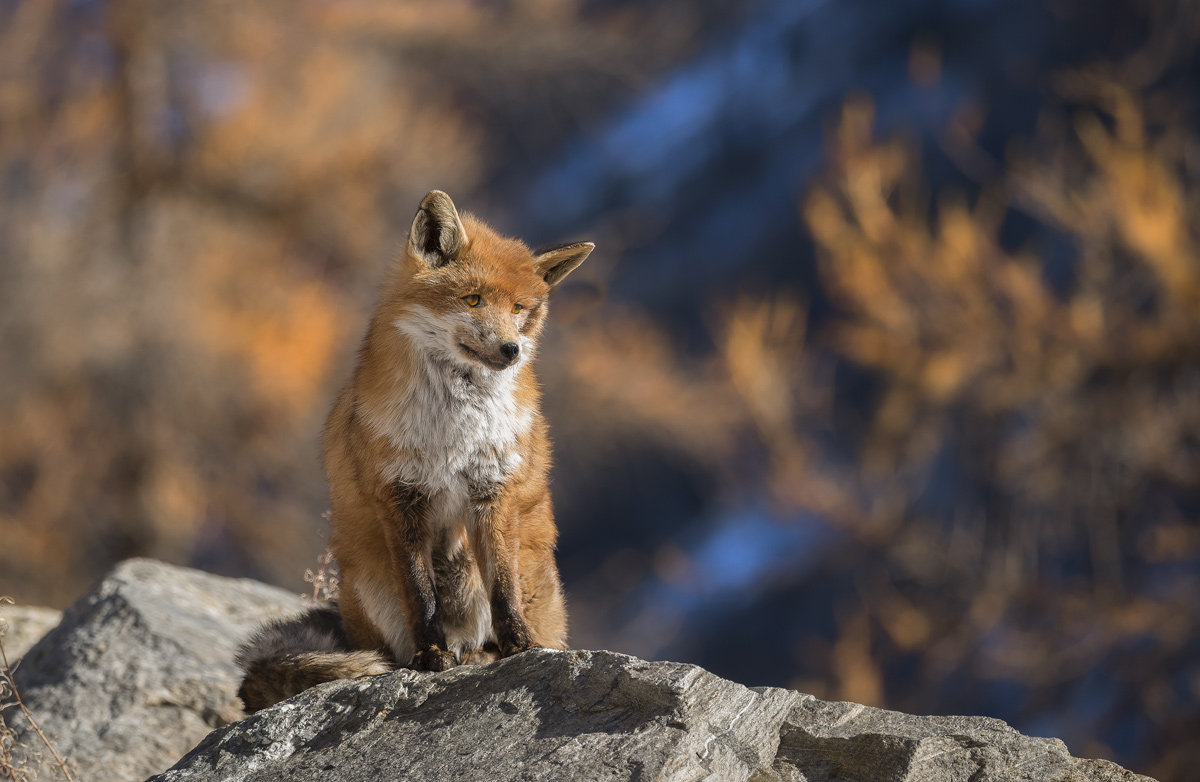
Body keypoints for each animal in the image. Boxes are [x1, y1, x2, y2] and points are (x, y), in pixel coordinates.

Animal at [236, 190, 593, 712]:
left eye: (519, 309)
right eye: (473, 299)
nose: (511, 350)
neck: (452, 433)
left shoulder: (493, 491)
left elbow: (503, 590)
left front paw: (520, 649)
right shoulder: (400, 497)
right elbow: (420, 594)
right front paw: (430, 656)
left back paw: (486, 653)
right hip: (368, 582)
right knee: (396, 646)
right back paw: (439, 655)